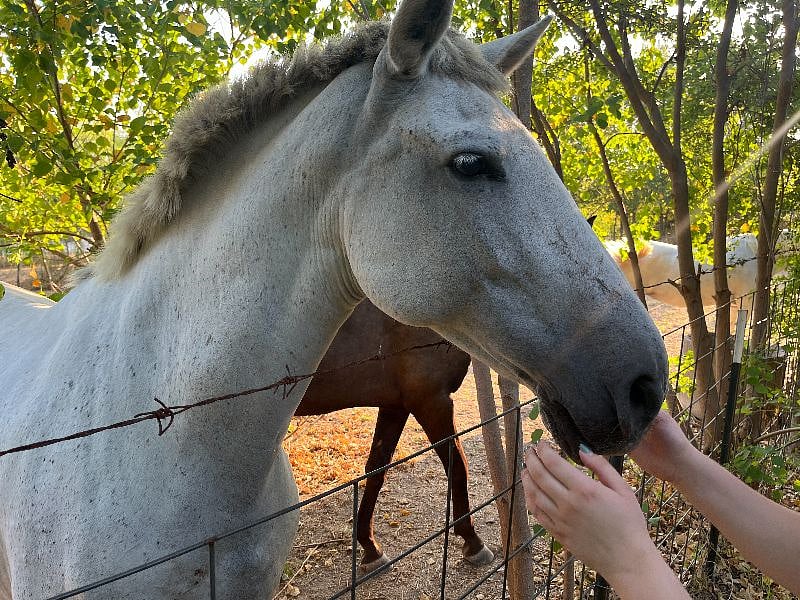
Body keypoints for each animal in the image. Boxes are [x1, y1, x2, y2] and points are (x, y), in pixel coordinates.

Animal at [297, 299, 491, 573]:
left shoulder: (395, 406)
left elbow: (376, 470)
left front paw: (370, 547)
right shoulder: (431, 400)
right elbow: (458, 467)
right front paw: (472, 541)